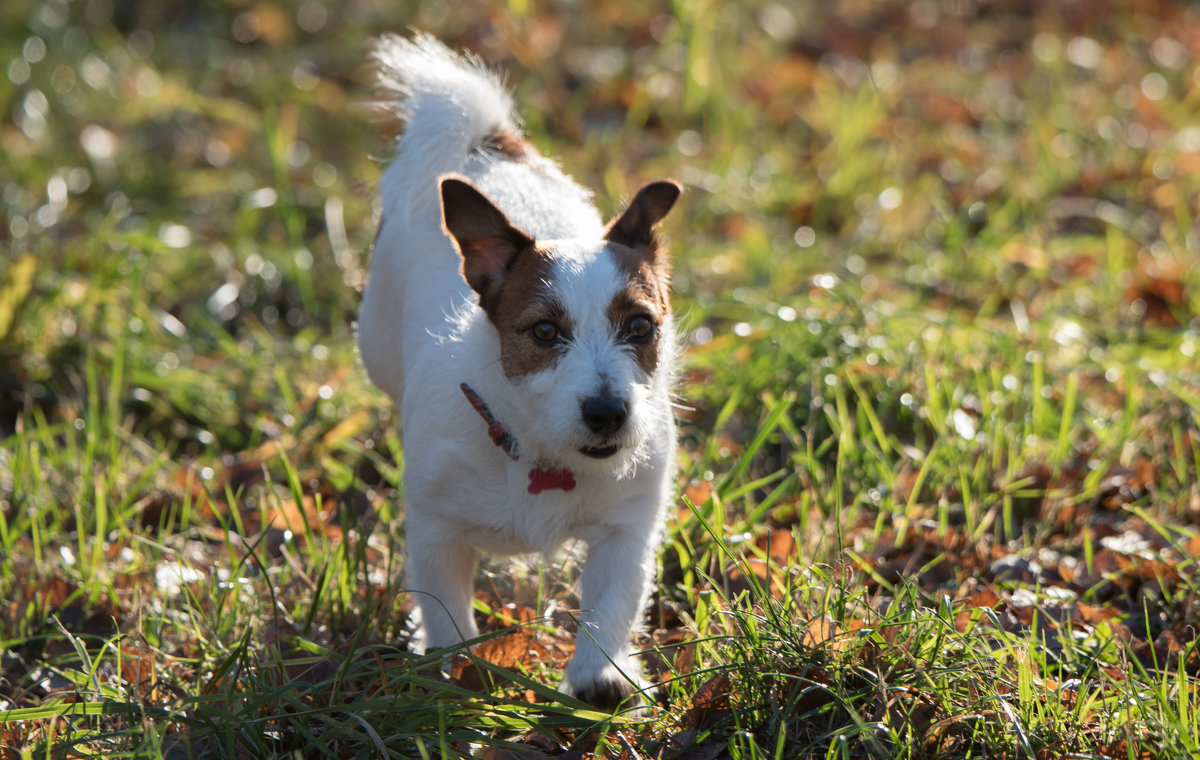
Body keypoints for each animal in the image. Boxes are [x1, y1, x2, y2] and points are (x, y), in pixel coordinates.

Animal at [355, 34, 681, 710]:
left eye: (640, 326)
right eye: (544, 333)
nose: (608, 413)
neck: (539, 454)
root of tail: (488, 142)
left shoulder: (627, 528)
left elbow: (612, 602)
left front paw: (599, 675)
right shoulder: (437, 533)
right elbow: (446, 613)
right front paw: (455, 676)